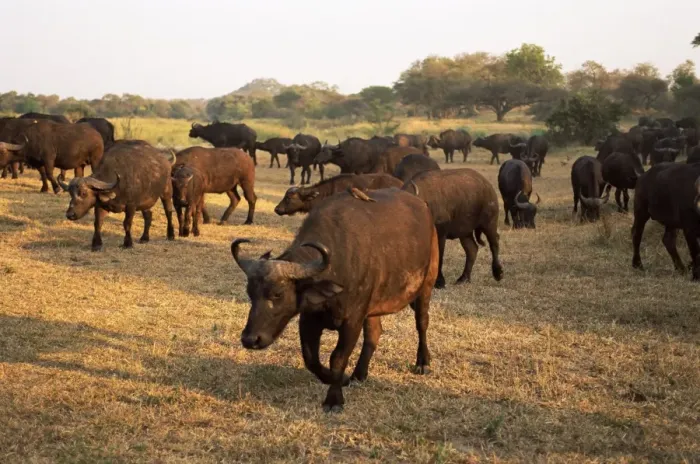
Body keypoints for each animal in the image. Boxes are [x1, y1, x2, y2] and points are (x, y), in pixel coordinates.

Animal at [232, 187, 439, 411]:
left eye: (278, 293)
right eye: (250, 293)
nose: (250, 339)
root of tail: (422, 204)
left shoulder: (352, 321)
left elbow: (338, 358)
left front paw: (334, 399)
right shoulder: (309, 319)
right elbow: (310, 358)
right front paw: (336, 379)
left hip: (426, 286)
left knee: (422, 323)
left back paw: (423, 362)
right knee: (374, 333)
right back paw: (359, 374)